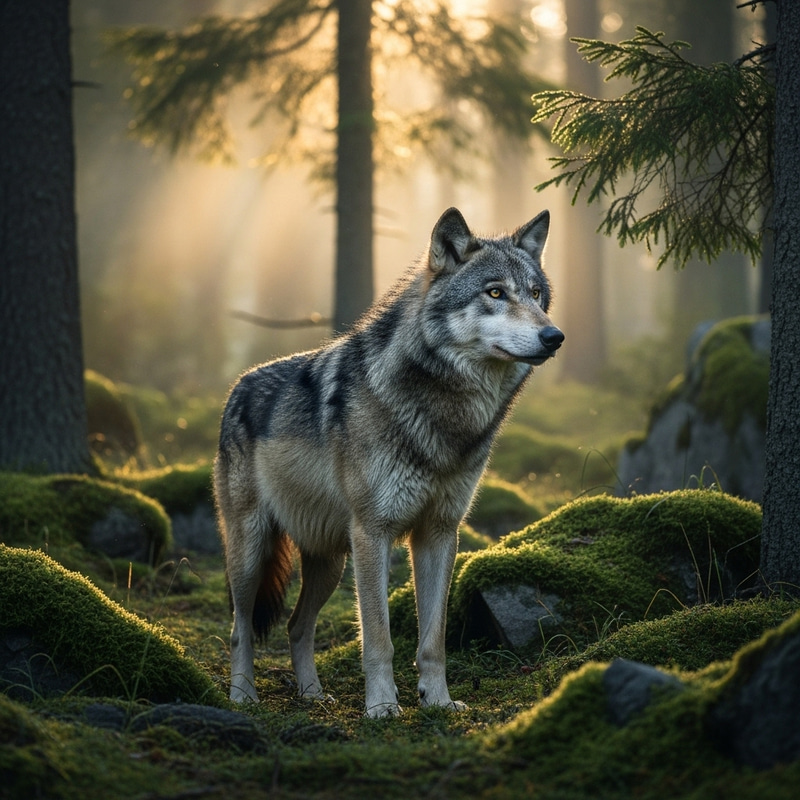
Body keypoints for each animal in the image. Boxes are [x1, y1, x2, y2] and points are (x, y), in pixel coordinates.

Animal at [214, 207, 564, 717]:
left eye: (537, 295)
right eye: (495, 292)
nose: (554, 336)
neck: (443, 415)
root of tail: (237, 386)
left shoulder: (439, 534)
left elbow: (433, 640)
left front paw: (438, 702)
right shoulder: (373, 533)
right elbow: (378, 637)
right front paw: (381, 708)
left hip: (331, 561)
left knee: (297, 626)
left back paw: (313, 694)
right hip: (254, 553)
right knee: (241, 628)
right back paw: (244, 697)